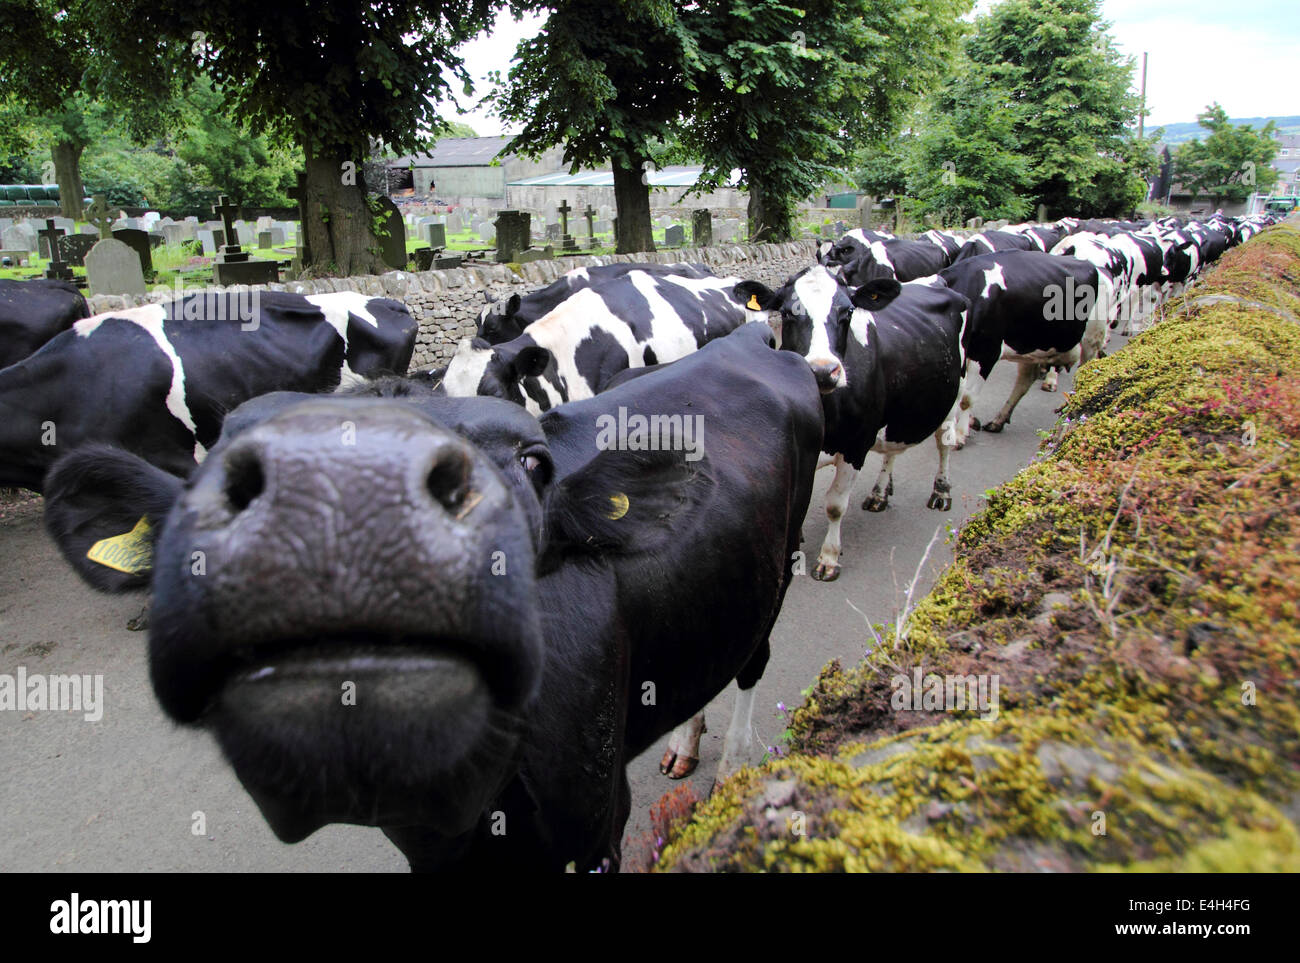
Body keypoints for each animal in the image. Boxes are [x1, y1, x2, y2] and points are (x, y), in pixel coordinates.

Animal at [734, 265, 969, 582]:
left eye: (847, 312)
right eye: (786, 313)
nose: (823, 371)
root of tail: (936, 280)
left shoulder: (856, 445)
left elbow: (835, 505)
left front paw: (829, 558)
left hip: (954, 393)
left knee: (944, 443)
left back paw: (941, 492)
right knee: (892, 450)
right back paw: (879, 495)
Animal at [938, 251, 1113, 436]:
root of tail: (1093, 266)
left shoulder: (987, 352)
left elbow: (967, 398)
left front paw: (960, 433)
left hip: (1091, 338)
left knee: (1084, 371)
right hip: (1031, 348)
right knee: (1025, 381)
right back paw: (999, 420)